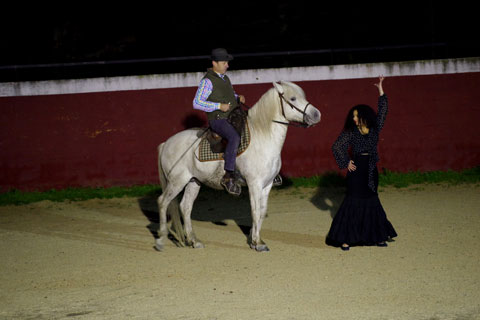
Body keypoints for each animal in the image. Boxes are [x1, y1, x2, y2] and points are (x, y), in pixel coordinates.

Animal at [158, 81, 320, 251]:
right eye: (293, 98)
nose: (316, 115)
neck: (263, 137)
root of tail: (166, 143)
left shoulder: (267, 184)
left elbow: (262, 212)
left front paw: (255, 239)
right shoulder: (254, 184)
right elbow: (255, 211)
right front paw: (257, 243)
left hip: (193, 182)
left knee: (185, 207)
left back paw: (194, 241)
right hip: (176, 182)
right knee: (163, 202)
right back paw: (161, 240)